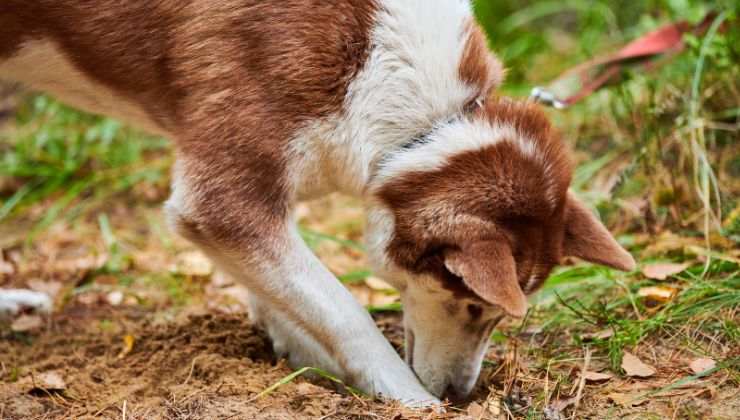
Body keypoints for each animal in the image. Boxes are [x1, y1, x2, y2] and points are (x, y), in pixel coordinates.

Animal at [1, 0, 636, 406]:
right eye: (474, 305)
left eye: (493, 315)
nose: (460, 395)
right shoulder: (221, 199)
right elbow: (343, 310)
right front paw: (404, 395)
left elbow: (290, 293)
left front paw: (298, 351)